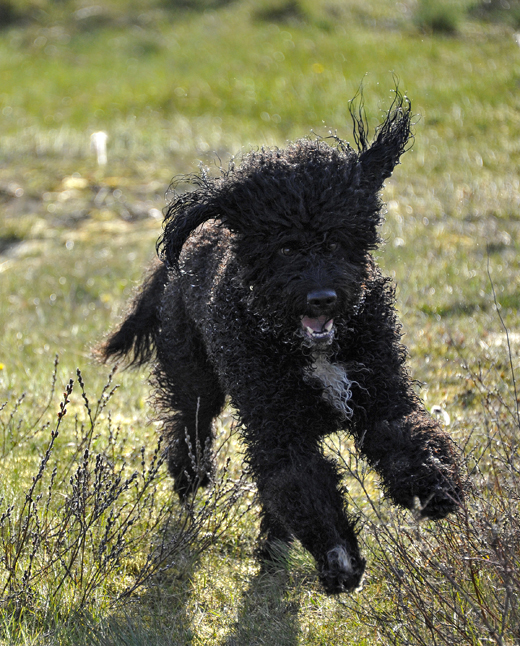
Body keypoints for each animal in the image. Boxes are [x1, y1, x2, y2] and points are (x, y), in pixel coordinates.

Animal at [99, 92, 462, 596]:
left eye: (335, 241)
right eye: (286, 248)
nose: (322, 297)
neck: (313, 351)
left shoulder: (381, 397)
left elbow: (410, 435)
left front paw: (436, 485)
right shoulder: (280, 430)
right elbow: (305, 489)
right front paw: (338, 557)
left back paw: (271, 545)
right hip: (194, 378)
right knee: (188, 428)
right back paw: (196, 484)